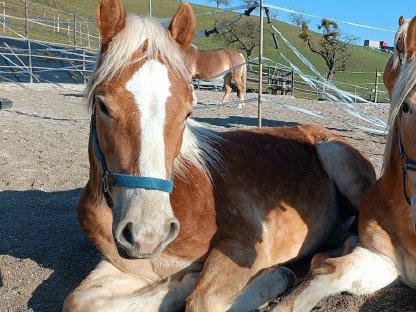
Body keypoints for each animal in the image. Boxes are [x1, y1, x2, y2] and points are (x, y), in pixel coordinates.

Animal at [62, 1, 376, 310]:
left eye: (188, 111)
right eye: (102, 105)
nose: (148, 234)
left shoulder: (243, 247)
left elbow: (202, 301)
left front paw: (273, 279)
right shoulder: (127, 266)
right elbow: (79, 300)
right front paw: (179, 285)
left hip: (338, 158)